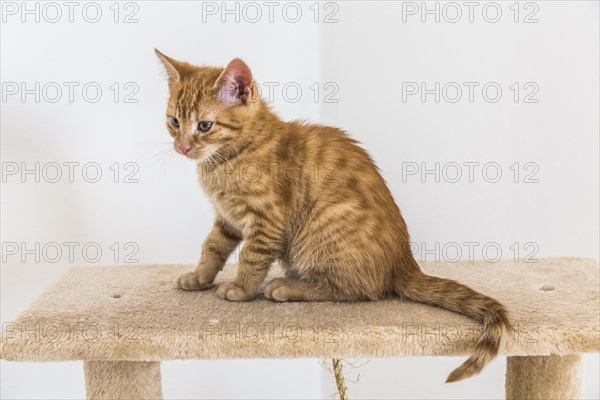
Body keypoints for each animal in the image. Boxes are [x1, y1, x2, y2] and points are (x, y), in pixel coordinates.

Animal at [156, 50, 510, 382]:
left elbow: (251, 257)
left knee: (357, 290)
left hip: (324, 228)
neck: (230, 157)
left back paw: (287, 287)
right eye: (174, 122)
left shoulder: (267, 219)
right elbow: (213, 246)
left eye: (205, 126)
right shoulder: (227, 217)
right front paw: (199, 277)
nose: (183, 147)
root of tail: (404, 262)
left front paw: (242, 289)